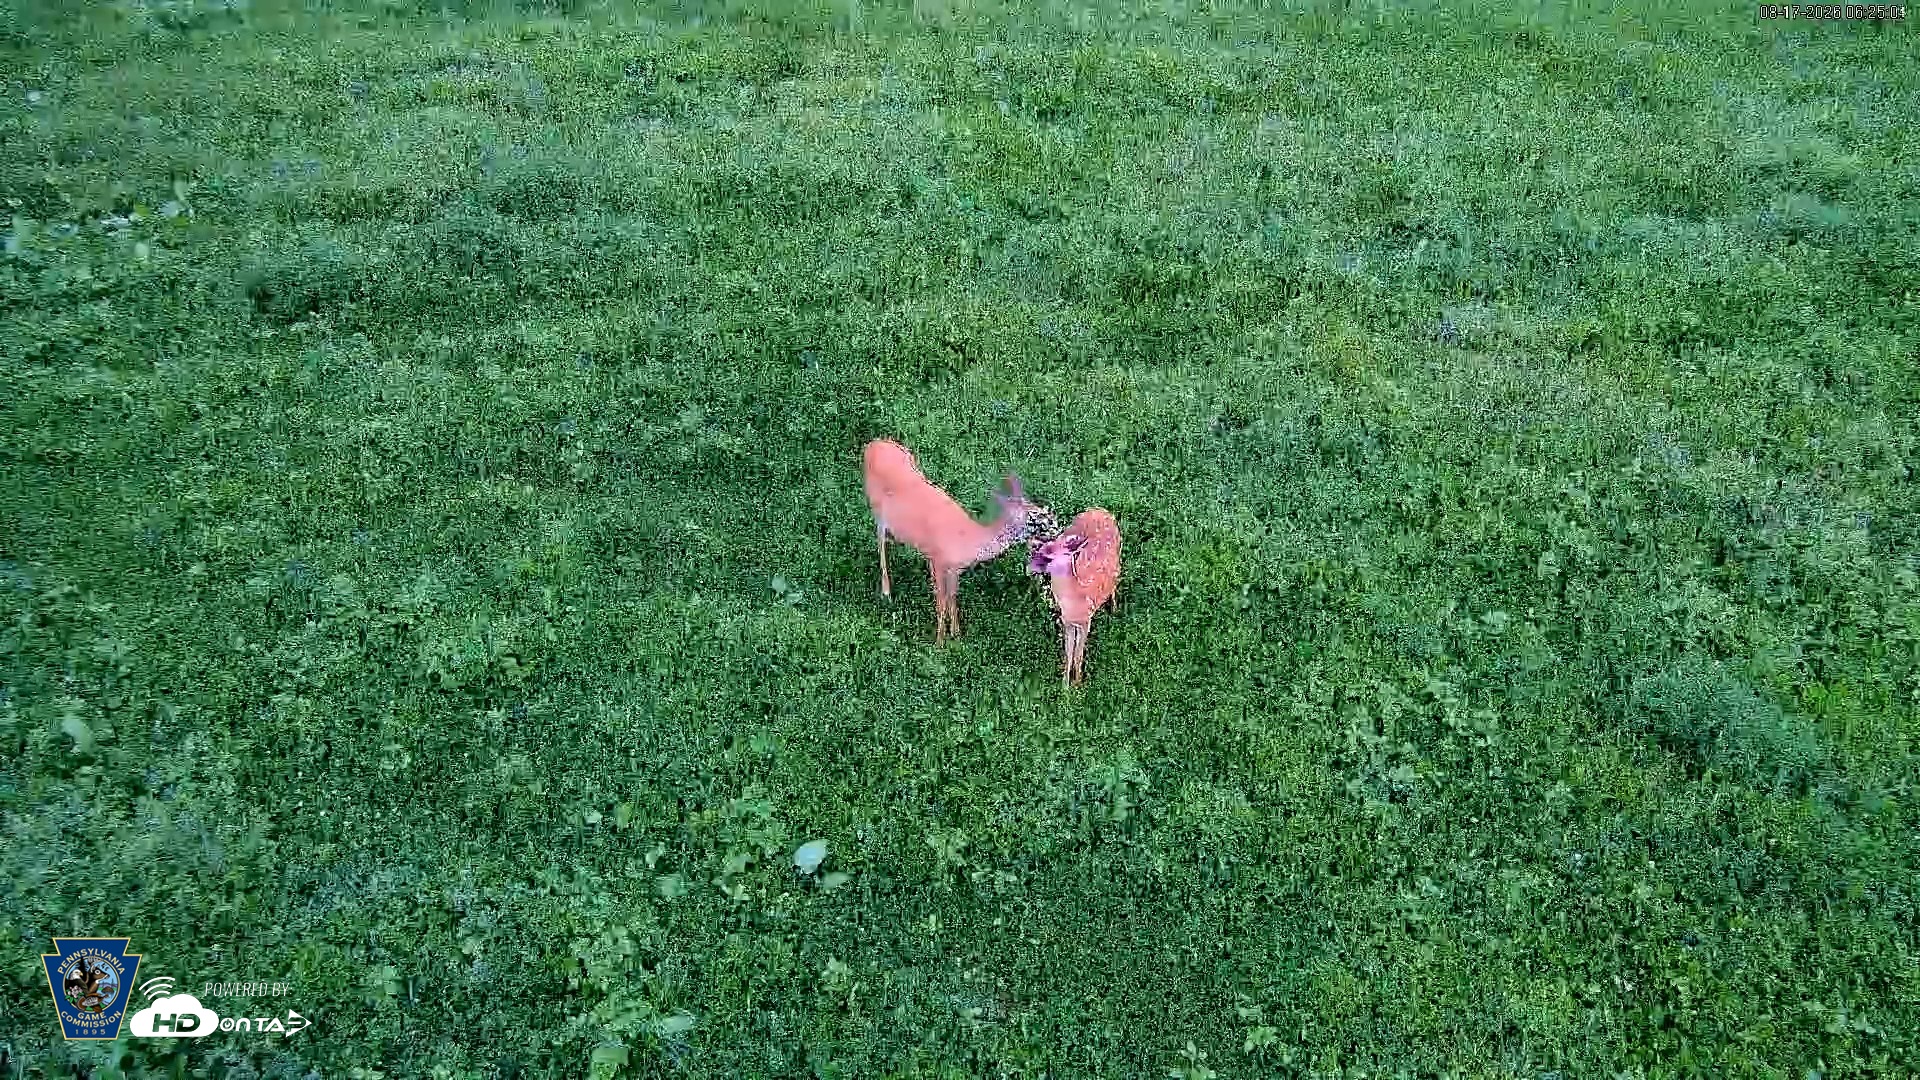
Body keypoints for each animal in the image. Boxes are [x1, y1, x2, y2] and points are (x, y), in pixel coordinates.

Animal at [863, 439, 1040, 643]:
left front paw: (956, 634)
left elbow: (952, 597)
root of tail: (873, 444)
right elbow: (941, 601)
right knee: (880, 542)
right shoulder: (937, 560)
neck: (969, 538)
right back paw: (886, 592)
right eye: (1033, 516)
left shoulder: (955, 569)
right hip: (876, 507)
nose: (1054, 521)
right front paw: (939, 641)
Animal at [1027, 508, 1121, 685]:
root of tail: (1100, 509)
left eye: (1048, 555)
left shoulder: (1086, 621)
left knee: (1116, 579)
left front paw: (1078, 683)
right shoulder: (1067, 622)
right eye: (1043, 548)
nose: (1030, 567)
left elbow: (1079, 653)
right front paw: (1065, 684)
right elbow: (1069, 652)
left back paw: (1114, 608)